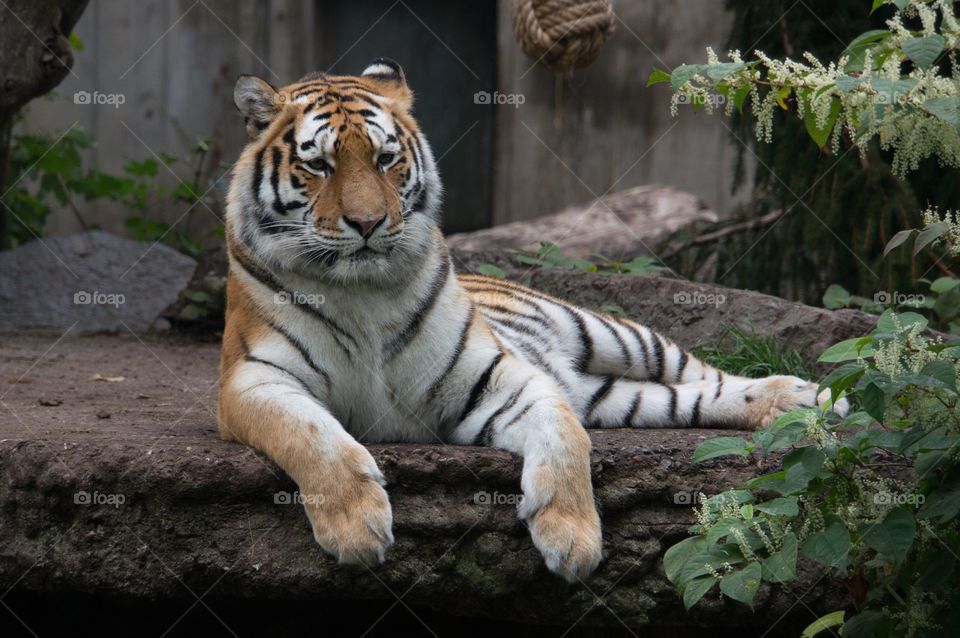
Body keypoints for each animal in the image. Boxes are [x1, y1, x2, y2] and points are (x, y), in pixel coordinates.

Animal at [218, 58, 848, 582]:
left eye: (385, 159)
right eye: (318, 166)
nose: (369, 223)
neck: (363, 291)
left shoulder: (496, 375)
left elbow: (565, 438)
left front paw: (573, 540)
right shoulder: (253, 381)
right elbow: (314, 436)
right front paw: (357, 529)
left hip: (620, 336)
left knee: (708, 375)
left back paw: (811, 398)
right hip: (617, 397)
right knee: (689, 399)